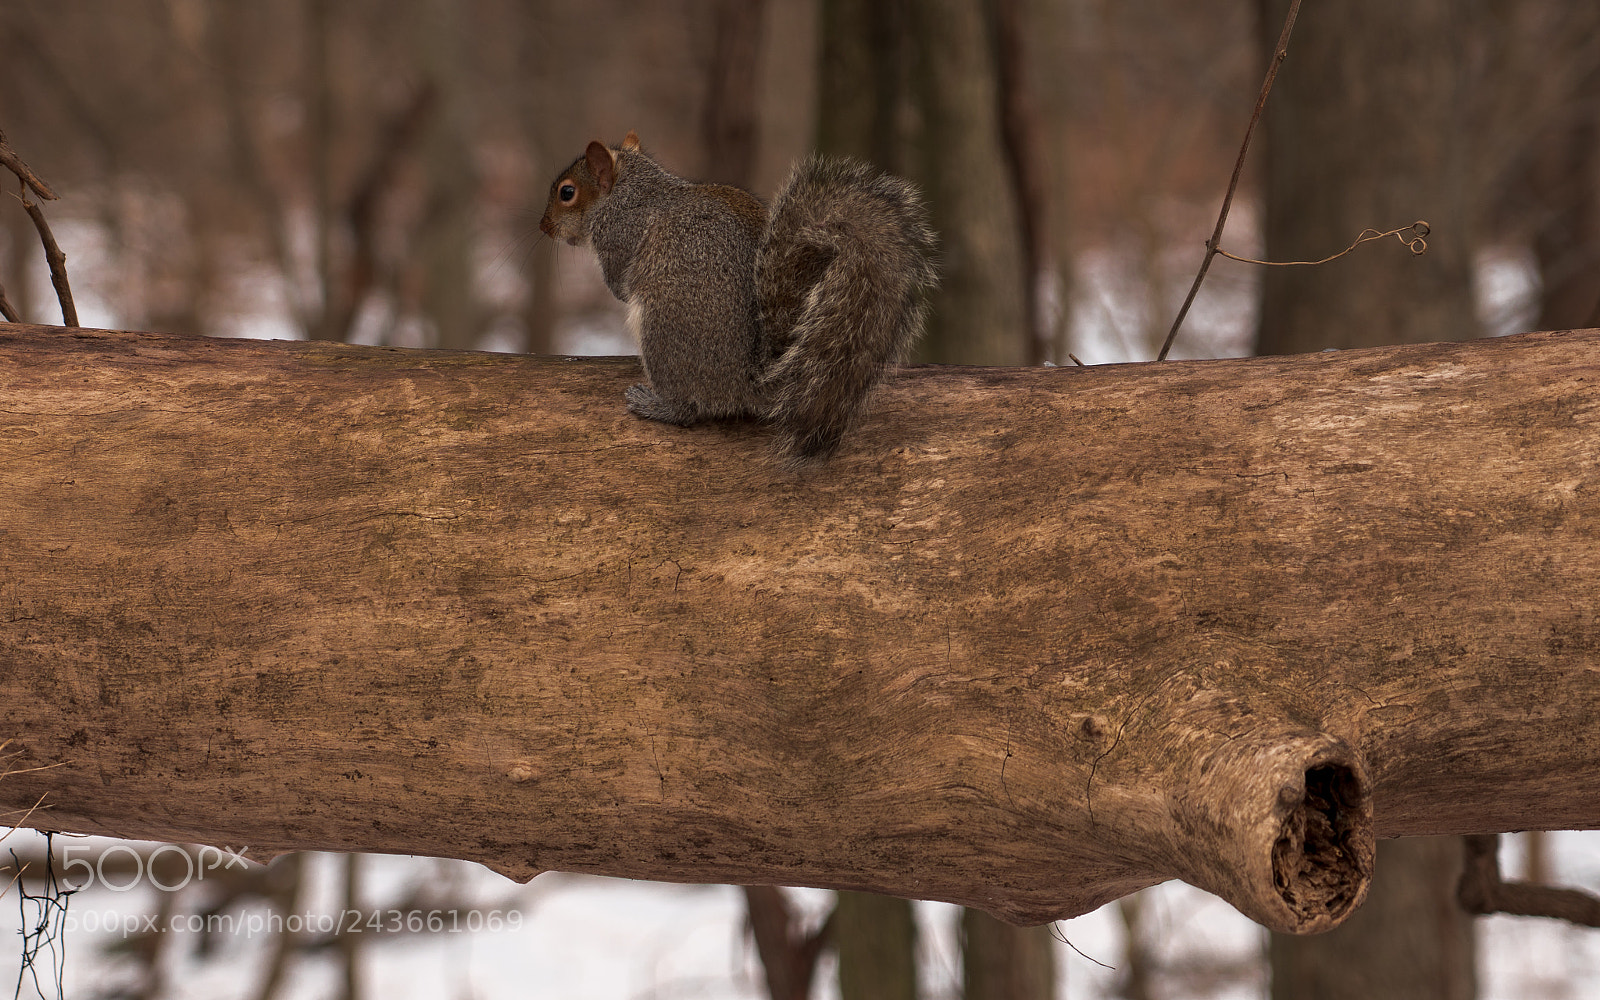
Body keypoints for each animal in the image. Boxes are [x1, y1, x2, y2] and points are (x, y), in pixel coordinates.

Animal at [539, 131, 938, 461]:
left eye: (566, 192)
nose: (543, 227)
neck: (629, 189)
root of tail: (749, 381)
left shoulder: (620, 235)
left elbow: (620, 283)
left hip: (663, 328)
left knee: (689, 409)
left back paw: (656, 405)